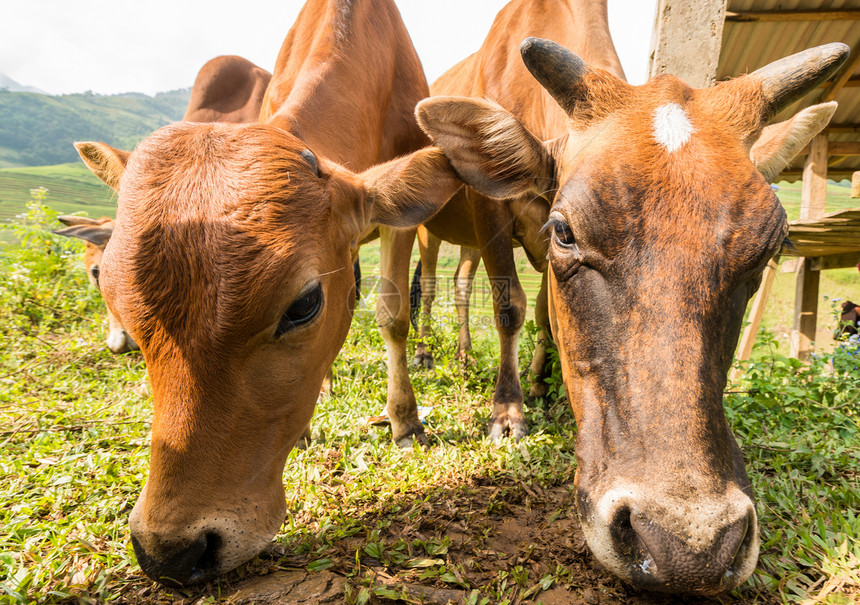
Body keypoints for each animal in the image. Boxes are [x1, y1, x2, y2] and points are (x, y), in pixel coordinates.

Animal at [73, 0, 460, 584]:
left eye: (303, 305)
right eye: (115, 295)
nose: (170, 551)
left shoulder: (402, 223)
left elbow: (392, 313)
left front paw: (405, 420)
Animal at [418, 23, 848, 596]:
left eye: (771, 247)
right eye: (565, 231)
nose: (691, 547)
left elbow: (544, 314)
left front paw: (540, 384)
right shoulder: (492, 214)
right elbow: (510, 306)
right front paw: (508, 413)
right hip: (430, 232)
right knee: (429, 283)